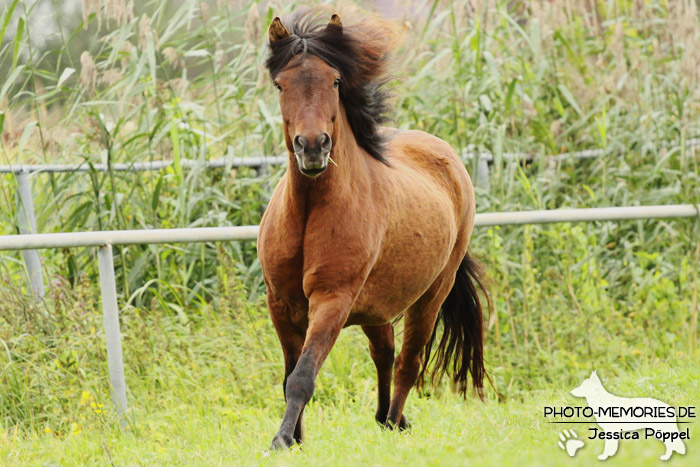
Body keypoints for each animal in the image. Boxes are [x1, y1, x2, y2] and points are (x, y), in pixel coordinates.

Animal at [258, 11, 492, 450]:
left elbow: (302, 377)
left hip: (431, 295)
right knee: (385, 353)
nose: (312, 147)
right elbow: (288, 375)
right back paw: (386, 419)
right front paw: (294, 439)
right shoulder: (281, 303)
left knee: (408, 361)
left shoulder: (332, 299)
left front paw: (281, 440)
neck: (310, 210)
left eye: (335, 81)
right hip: (377, 305)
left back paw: (395, 420)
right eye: (280, 84)